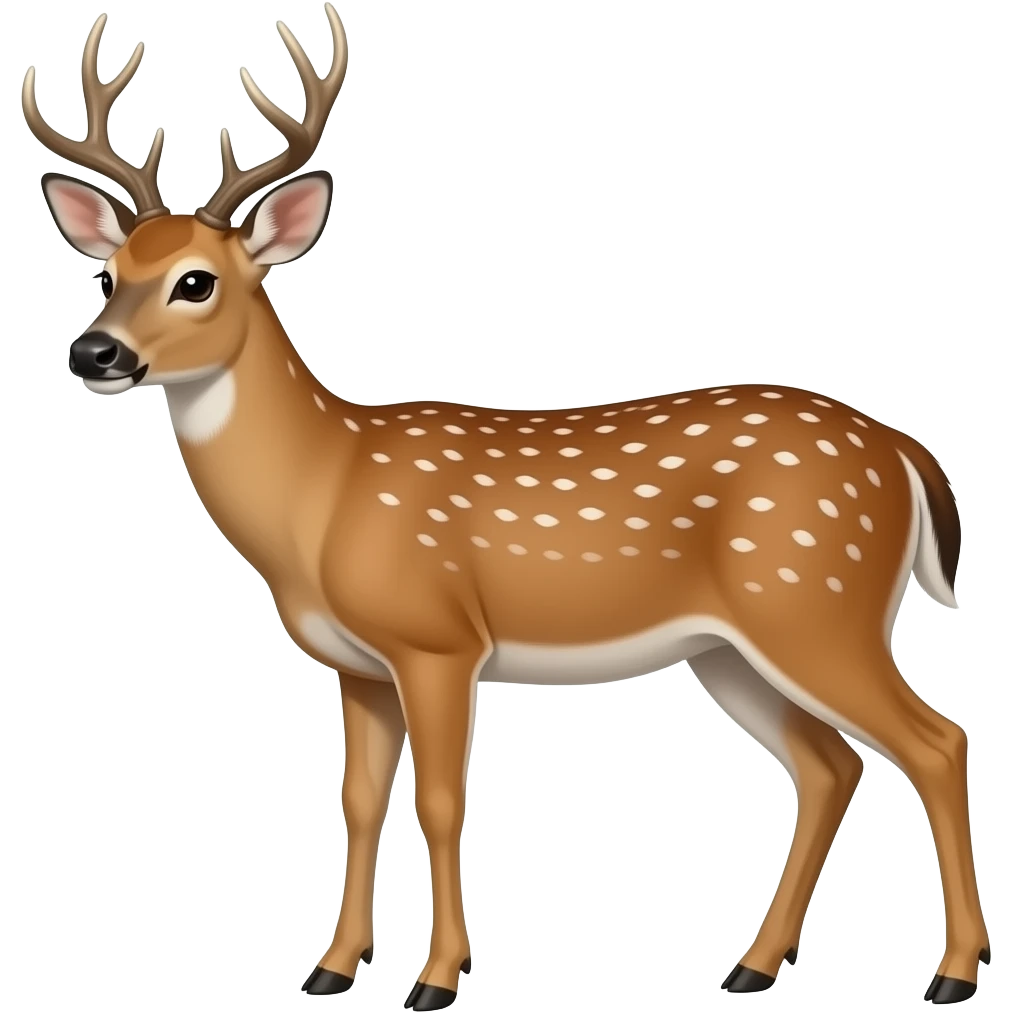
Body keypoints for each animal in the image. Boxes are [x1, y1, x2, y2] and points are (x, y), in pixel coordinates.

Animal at [21, 8, 987, 1009]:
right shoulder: (358, 666)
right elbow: (357, 801)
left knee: (935, 740)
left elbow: (443, 803)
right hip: (731, 648)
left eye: (196, 280)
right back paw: (751, 965)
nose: (93, 352)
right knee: (829, 764)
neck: (324, 494)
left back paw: (950, 974)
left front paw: (437, 978)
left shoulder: (439, 639)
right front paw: (331, 968)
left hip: (815, 600)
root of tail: (905, 452)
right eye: (109, 272)